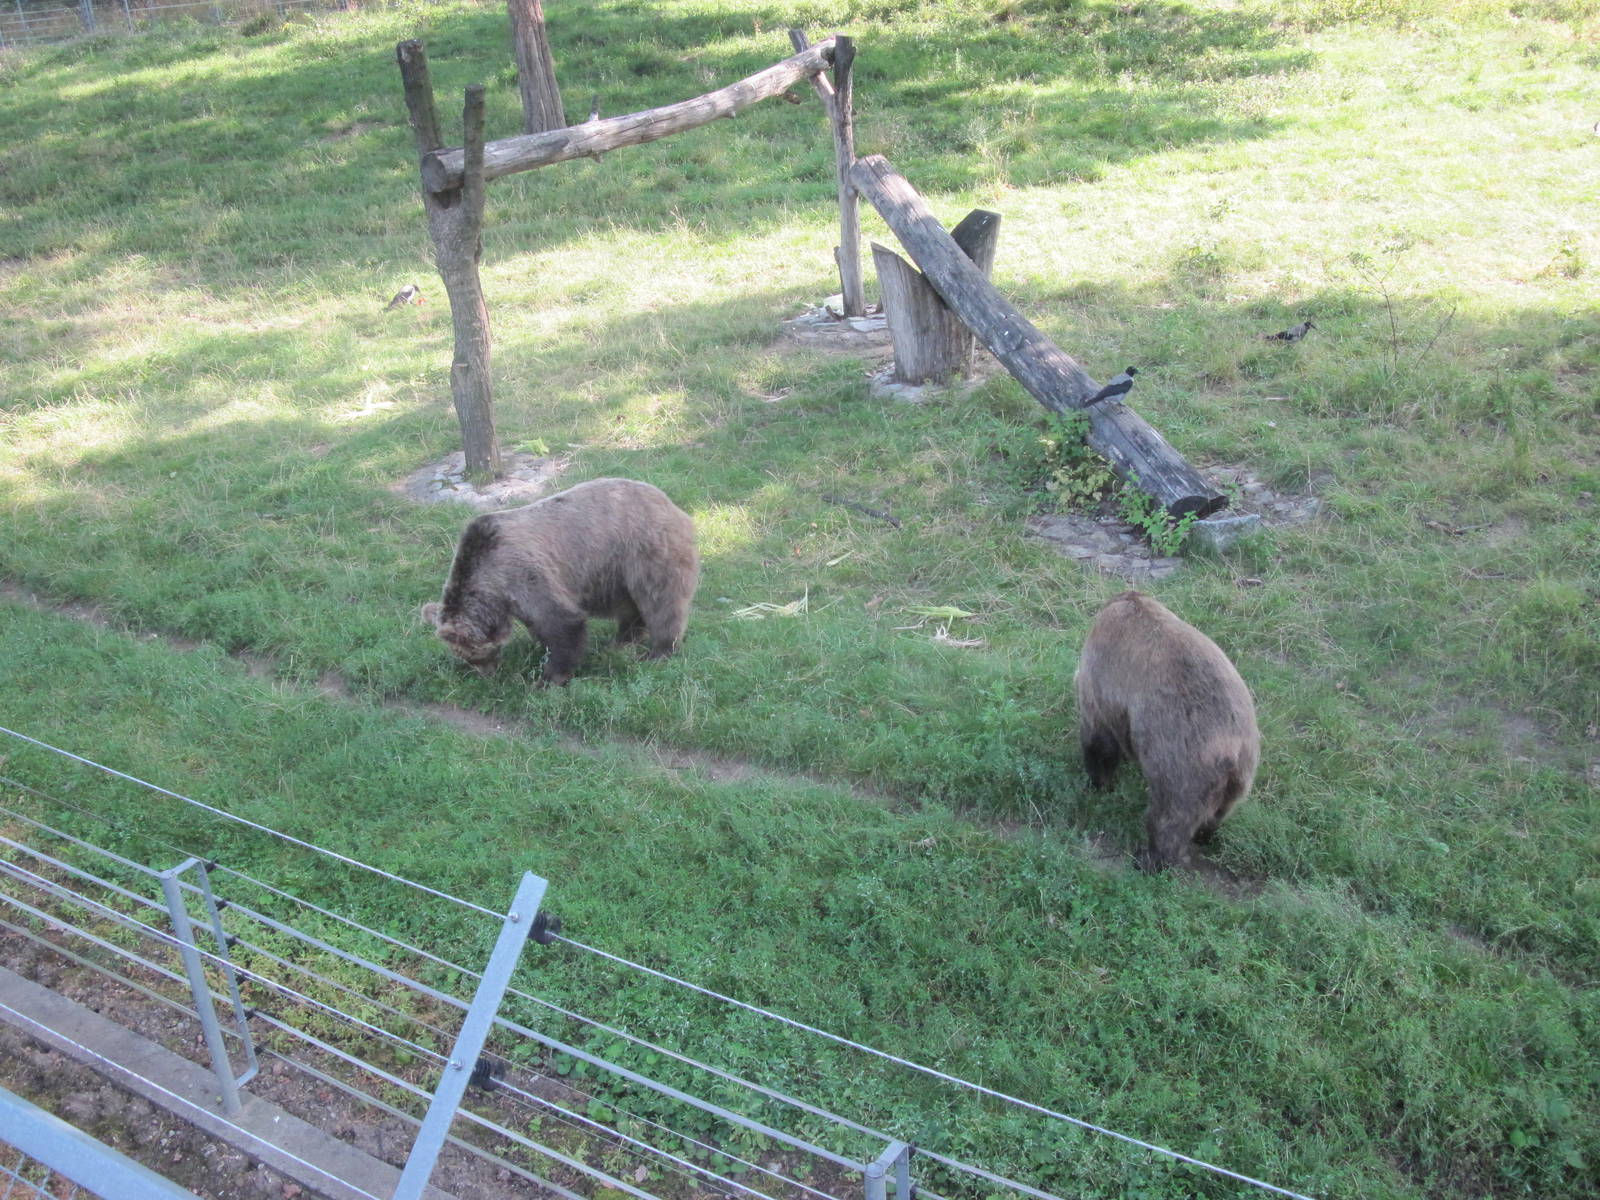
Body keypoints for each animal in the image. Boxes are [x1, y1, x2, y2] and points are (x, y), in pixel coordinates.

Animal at [422, 477, 698, 686]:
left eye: (475, 655)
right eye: (465, 658)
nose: (486, 674)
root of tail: (673, 505)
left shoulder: (524, 575)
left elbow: (562, 623)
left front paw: (548, 679)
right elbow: (539, 627)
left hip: (646, 552)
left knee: (661, 603)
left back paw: (659, 652)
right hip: (615, 572)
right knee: (629, 605)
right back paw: (621, 641)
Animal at [1074, 590, 1260, 871]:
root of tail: (1230, 749)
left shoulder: (1102, 683)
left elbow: (1100, 742)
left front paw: (1099, 783)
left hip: (1179, 765)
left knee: (1167, 819)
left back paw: (1149, 859)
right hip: (1240, 774)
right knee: (1219, 812)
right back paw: (1204, 835)